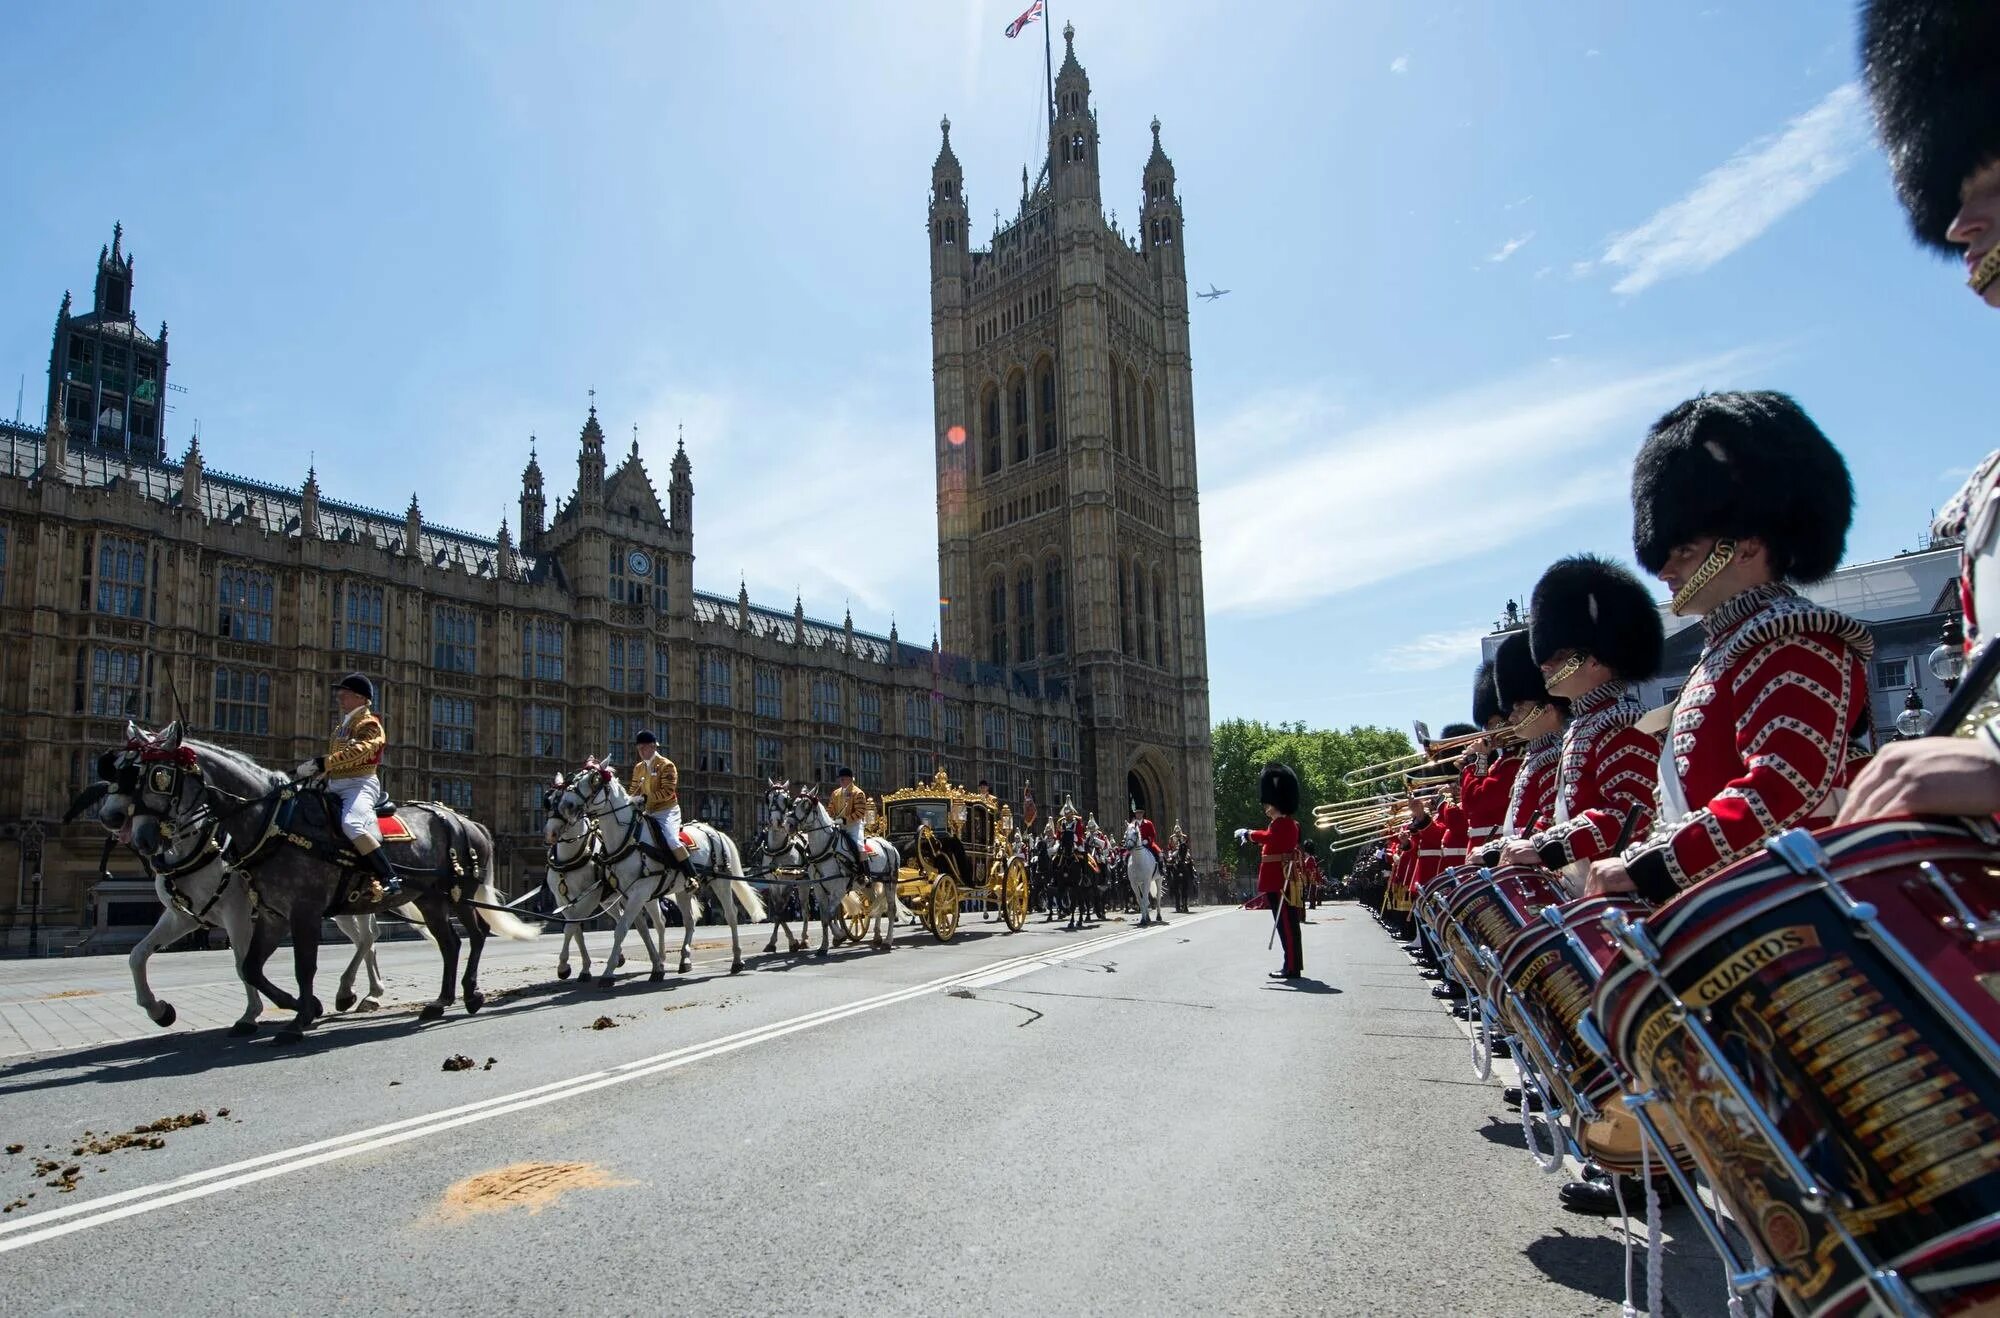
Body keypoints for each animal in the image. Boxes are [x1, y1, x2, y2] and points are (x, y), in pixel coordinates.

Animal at [540, 764, 764, 992]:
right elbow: (622, 928)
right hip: (679, 888)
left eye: (593, 781)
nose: (551, 832)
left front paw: (604, 972)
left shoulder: (615, 894)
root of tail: (712, 829)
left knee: (731, 915)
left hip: (721, 881)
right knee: (685, 920)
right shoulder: (618, 895)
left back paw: (736, 960)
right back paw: (682, 960)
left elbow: (614, 929)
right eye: (549, 799)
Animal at [768, 784, 904, 960]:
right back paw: (876, 937)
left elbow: (829, 915)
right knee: (876, 906)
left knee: (890, 908)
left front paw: (835, 939)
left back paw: (887, 941)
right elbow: (825, 918)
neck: (826, 849)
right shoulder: (819, 889)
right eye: (792, 803)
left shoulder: (838, 889)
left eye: (806, 804)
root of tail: (888, 844)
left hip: (889, 881)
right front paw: (827, 944)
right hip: (867, 885)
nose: (788, 825)